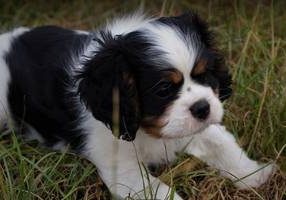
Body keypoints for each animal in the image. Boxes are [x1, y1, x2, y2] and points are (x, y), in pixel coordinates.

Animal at [0, 12, 274, 198]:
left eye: (204, 74)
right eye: (163, 90)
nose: (202, 108)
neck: (147, 130)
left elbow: (221, 144)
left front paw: (256, 175)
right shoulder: (123, 169)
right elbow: (159, 192)